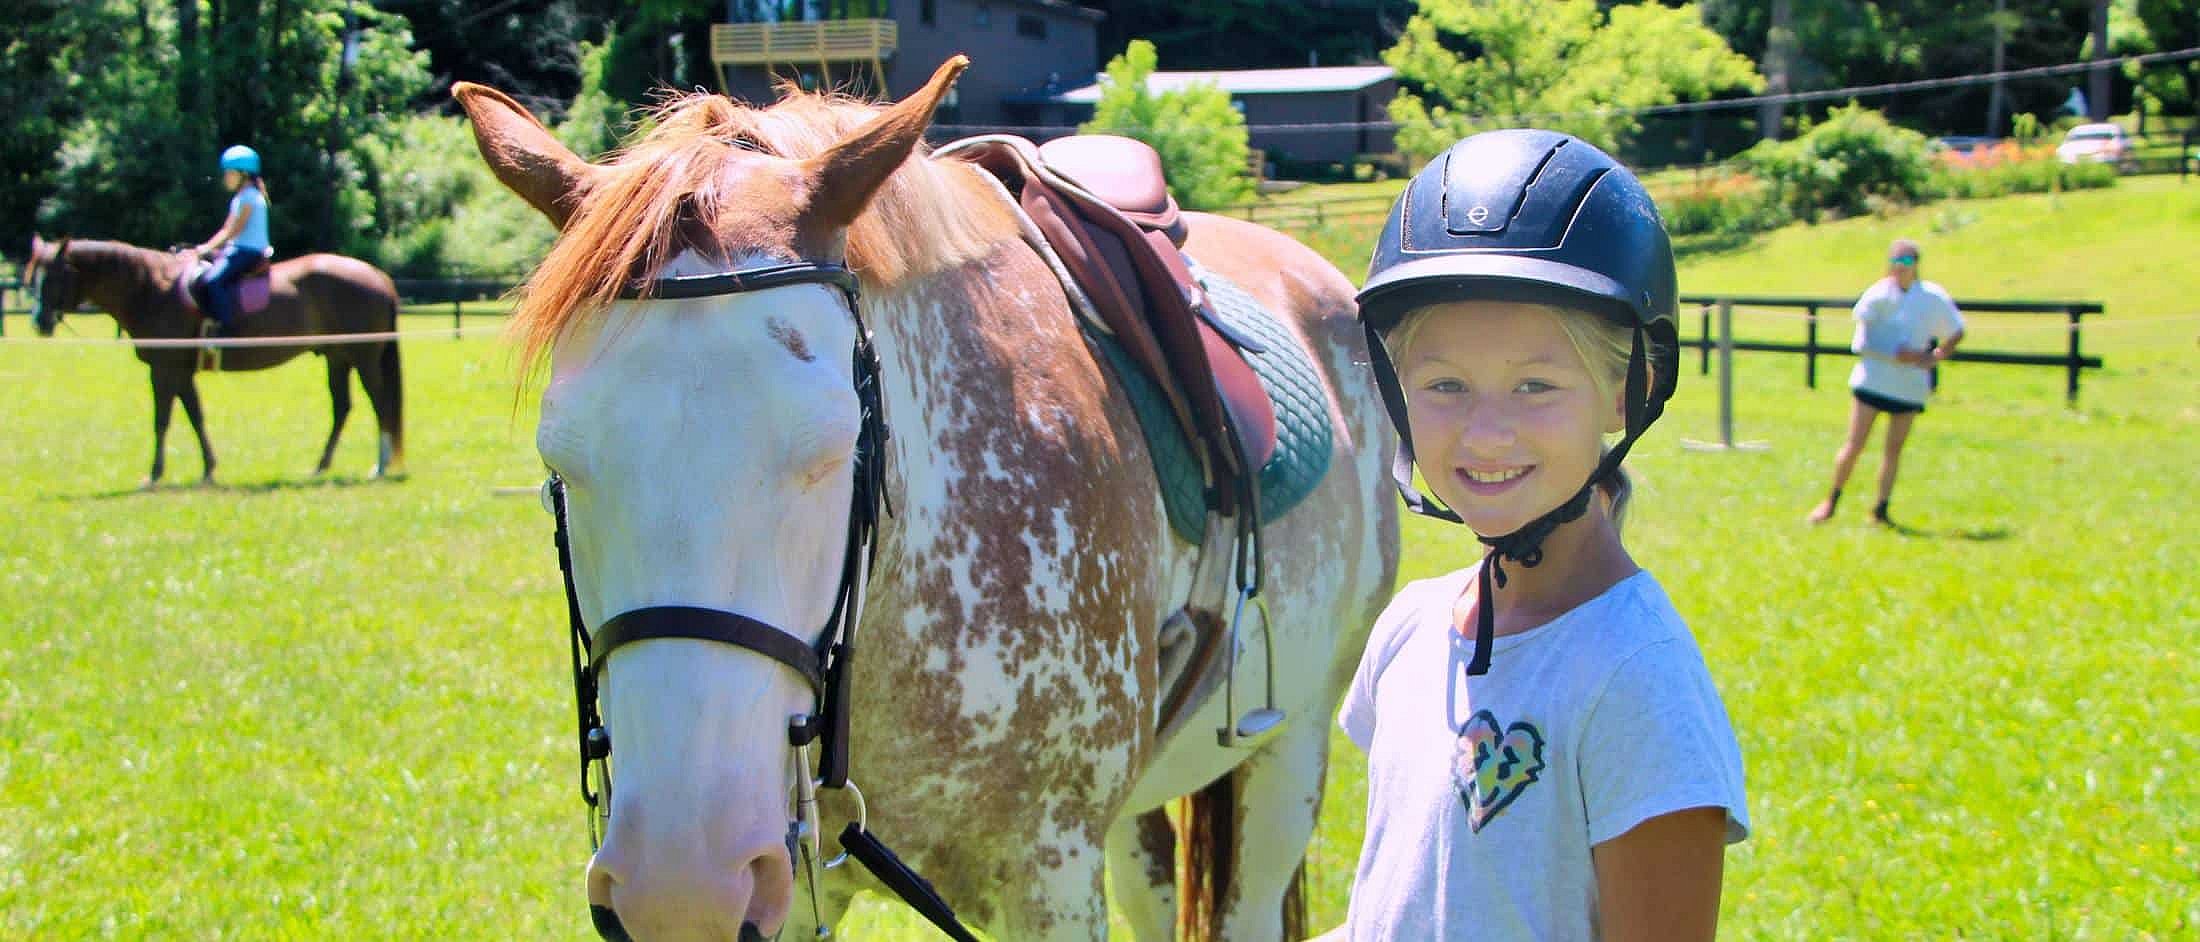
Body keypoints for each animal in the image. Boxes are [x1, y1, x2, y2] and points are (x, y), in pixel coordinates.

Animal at [24, 235, 405, 486]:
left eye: (55, 276)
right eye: (33, 278)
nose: (40, 322)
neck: (152, 289)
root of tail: (378, 277)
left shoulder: (164, 370)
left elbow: (162, 420)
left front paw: (155, 474)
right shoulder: (180, 372)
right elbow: (195, 416)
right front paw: (208, 469)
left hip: (363, 359)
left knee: (380, 404)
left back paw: (379, 466)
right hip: (338, 358)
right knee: (342, 408)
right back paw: (321, 466)